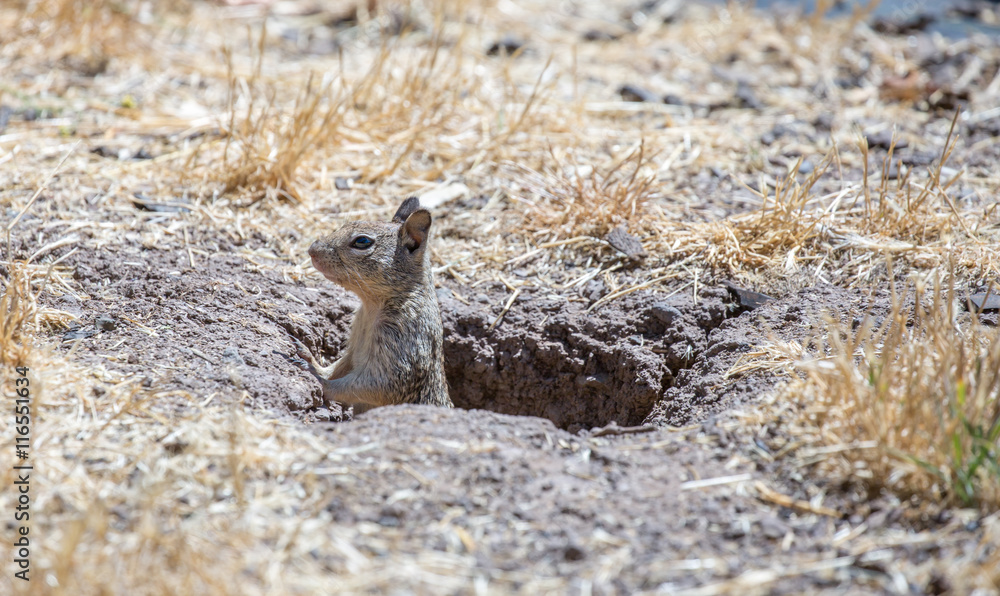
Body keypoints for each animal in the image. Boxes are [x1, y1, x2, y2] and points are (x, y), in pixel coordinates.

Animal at [288, 197, 452, 412]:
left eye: (362, 242)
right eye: (344, 225)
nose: (312, 250)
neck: (371, 307)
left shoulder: (400, 348)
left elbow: (365, 386)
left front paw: (318, 379)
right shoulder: (354, 347)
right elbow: (338, 366)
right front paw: (312, 361)